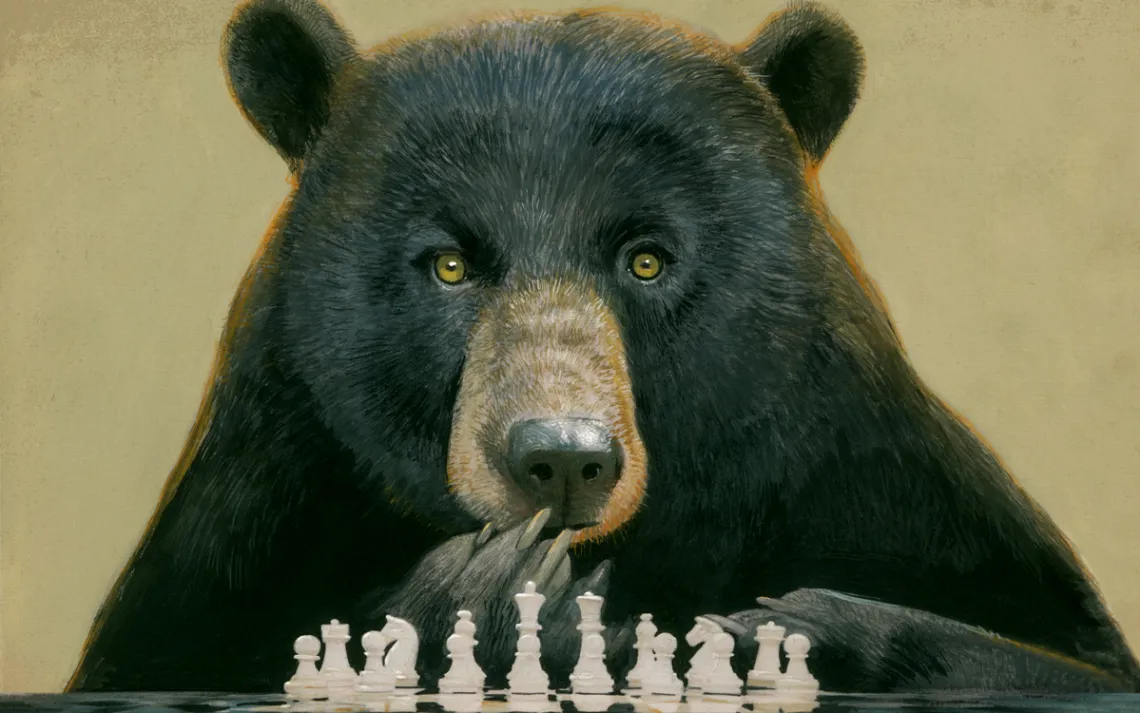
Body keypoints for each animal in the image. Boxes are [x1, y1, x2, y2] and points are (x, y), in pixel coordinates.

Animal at [67, 0, 1140, 696]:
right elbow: (180, 655)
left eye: (648, 258)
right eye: (450, 264)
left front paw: (779, 622)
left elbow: (1063, 654)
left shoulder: (871, 469)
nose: (562, 459)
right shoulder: (261, 501)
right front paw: (505, 590)